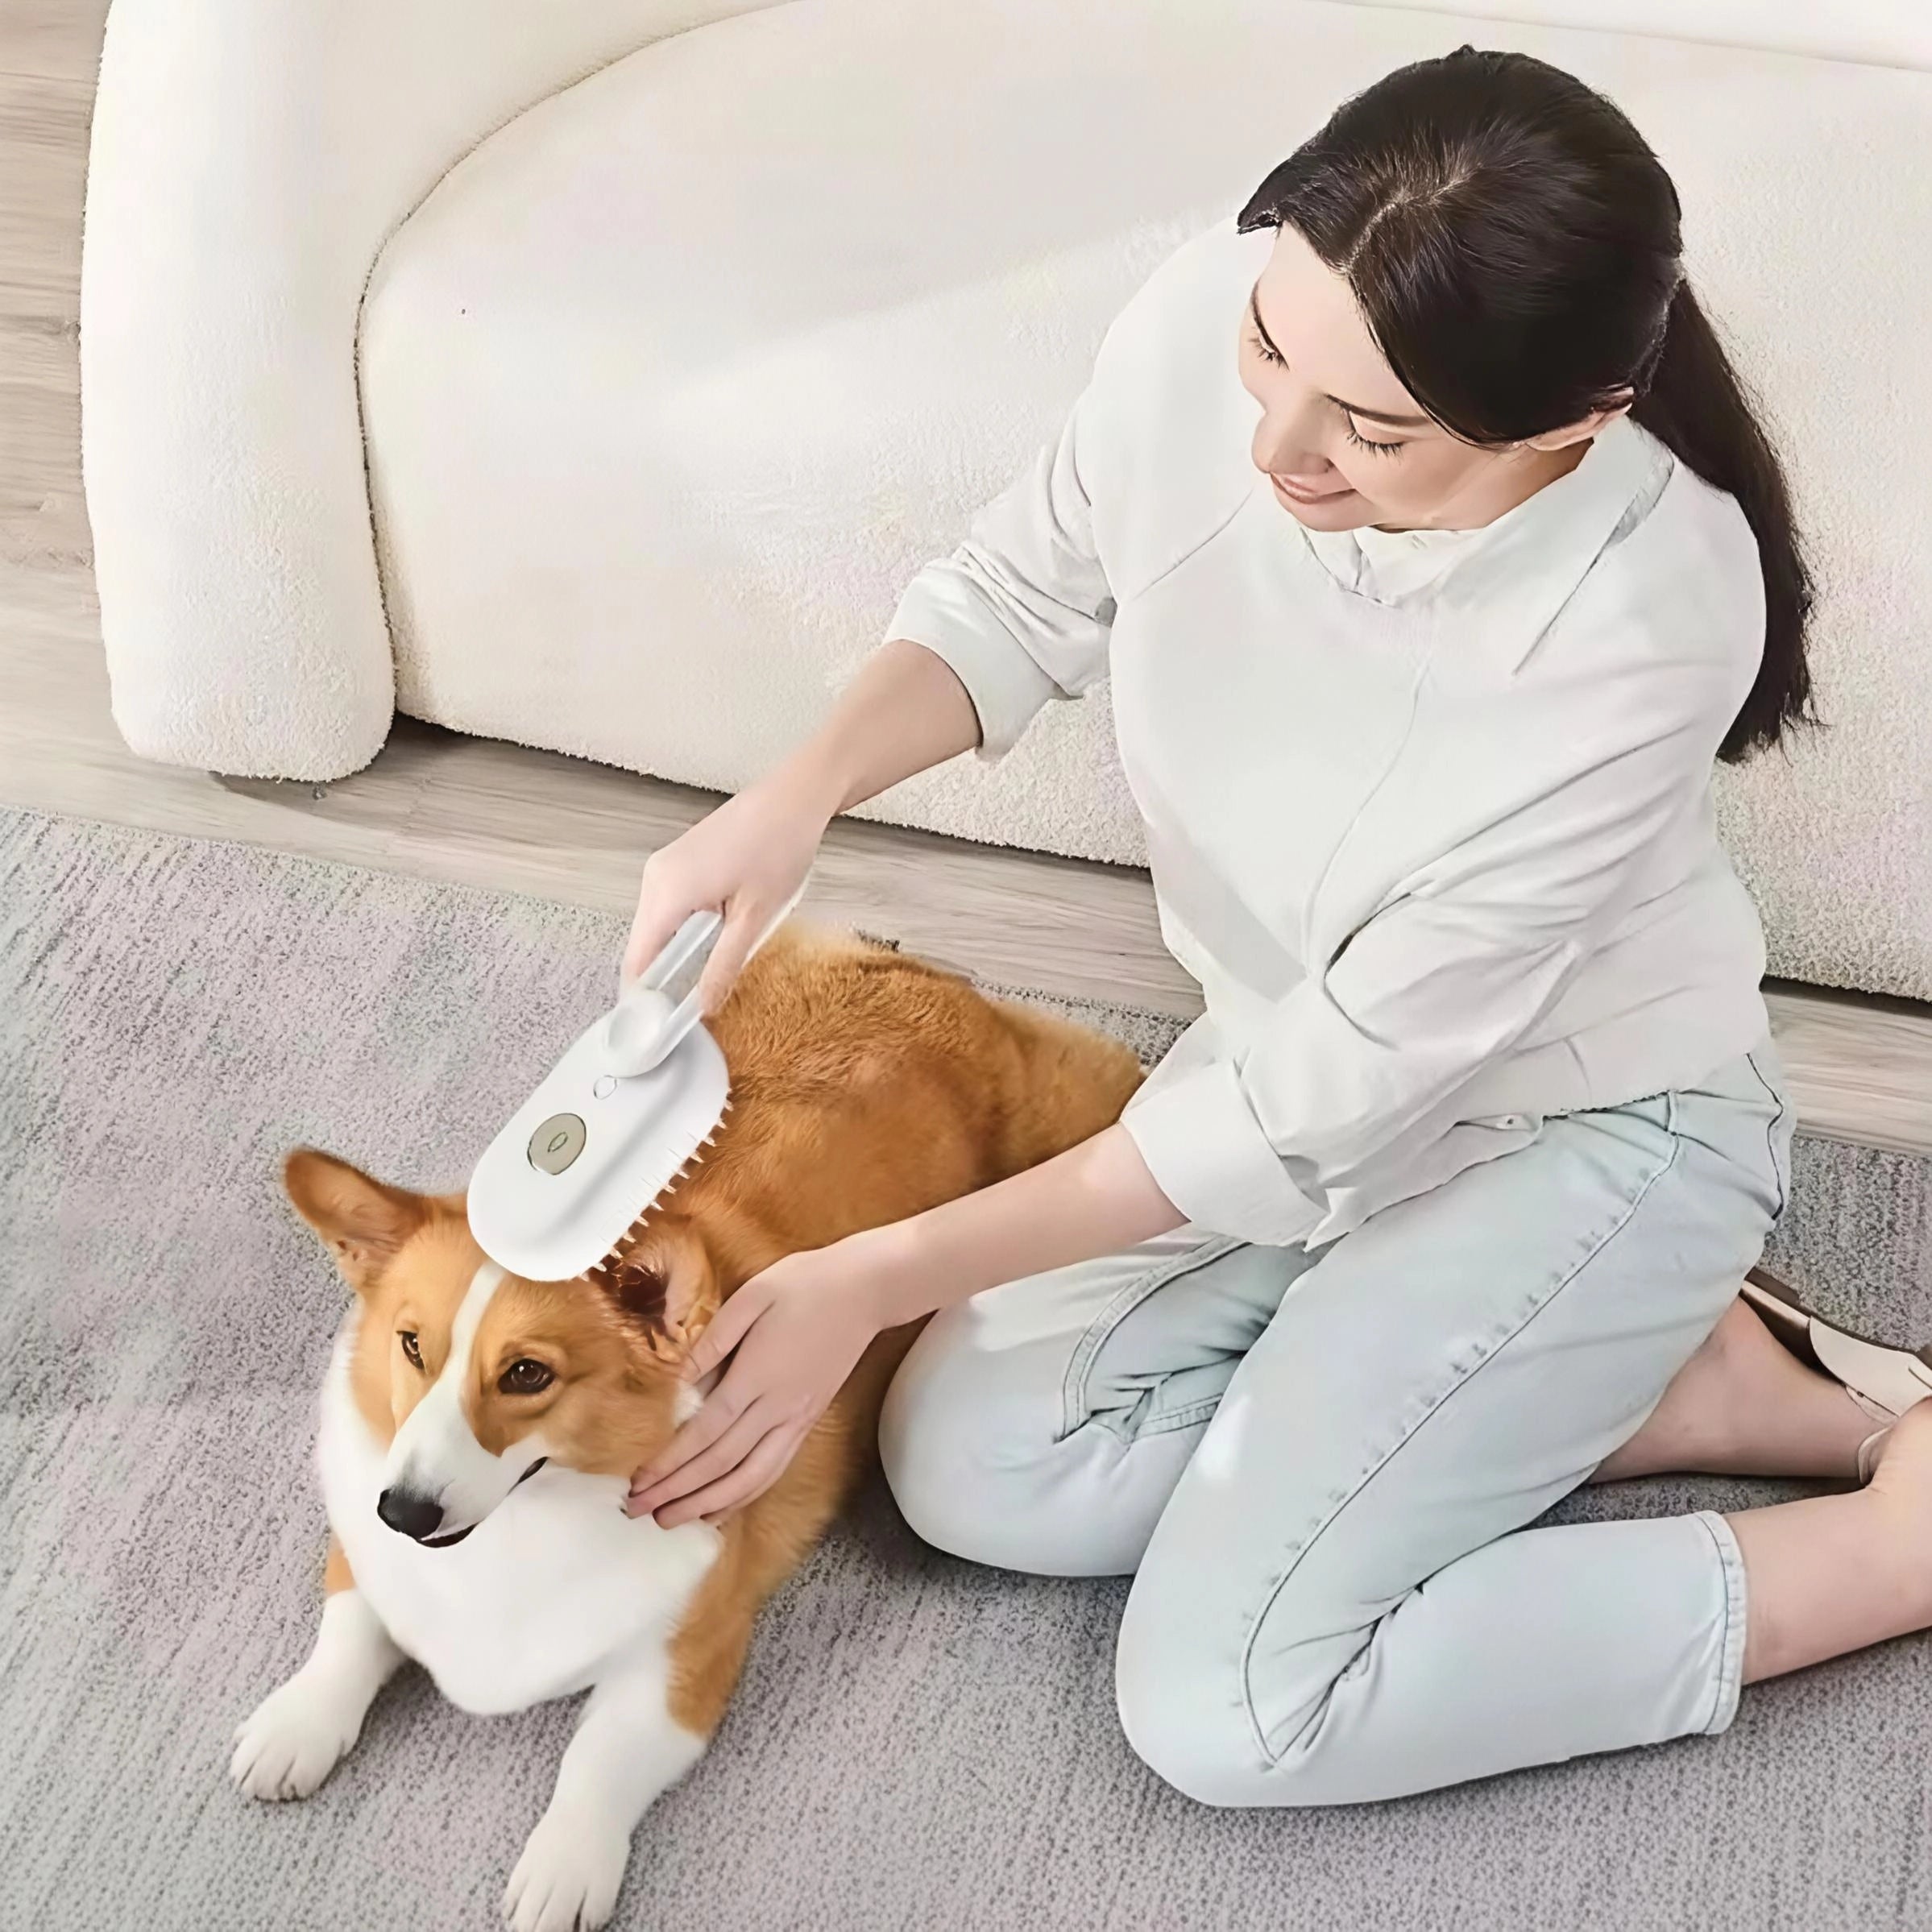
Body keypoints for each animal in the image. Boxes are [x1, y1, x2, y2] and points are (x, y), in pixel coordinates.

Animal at [231, 926, 1142, 1932]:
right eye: (410, 1346)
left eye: (526, 1374)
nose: (404, 1512)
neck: (523, 1531)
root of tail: (923, 974)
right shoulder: (364, 1547)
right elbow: (350, 1630)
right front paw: (292, 1726)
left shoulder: (681, 1664)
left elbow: (596, 1762)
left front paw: (561, 1872)